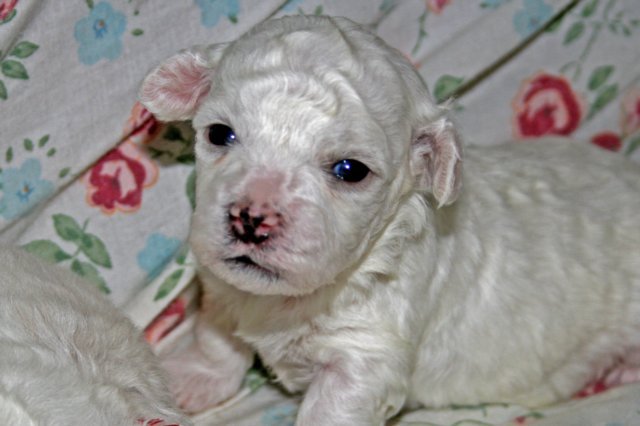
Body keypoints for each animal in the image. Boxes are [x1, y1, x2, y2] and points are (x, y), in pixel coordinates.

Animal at [139, 15, 640, 425]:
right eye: (220, 134)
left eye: (349, 169)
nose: (249, 219)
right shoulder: (222, 286)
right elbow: (217, 336)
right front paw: (189, 380)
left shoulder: (363, 357)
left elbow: (329, 409)